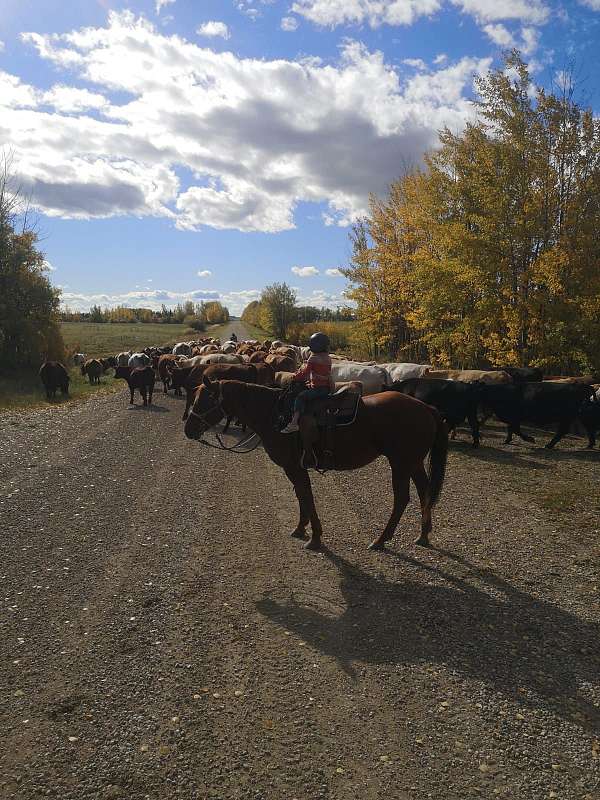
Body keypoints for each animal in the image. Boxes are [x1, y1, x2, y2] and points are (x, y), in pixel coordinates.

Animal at [185, 376, 448, 552]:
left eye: (203, 401)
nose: (188, 429)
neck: (275, 415)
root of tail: (427, 408)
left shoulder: (294, 466)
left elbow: (306, 495)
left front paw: (315, 537)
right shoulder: (295, 468)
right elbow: (301, 495)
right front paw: (301, 528)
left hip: (401, 463)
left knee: (402, 498)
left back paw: (381, 539)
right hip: (413, 462)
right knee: (425, 491)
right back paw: (423, 534)